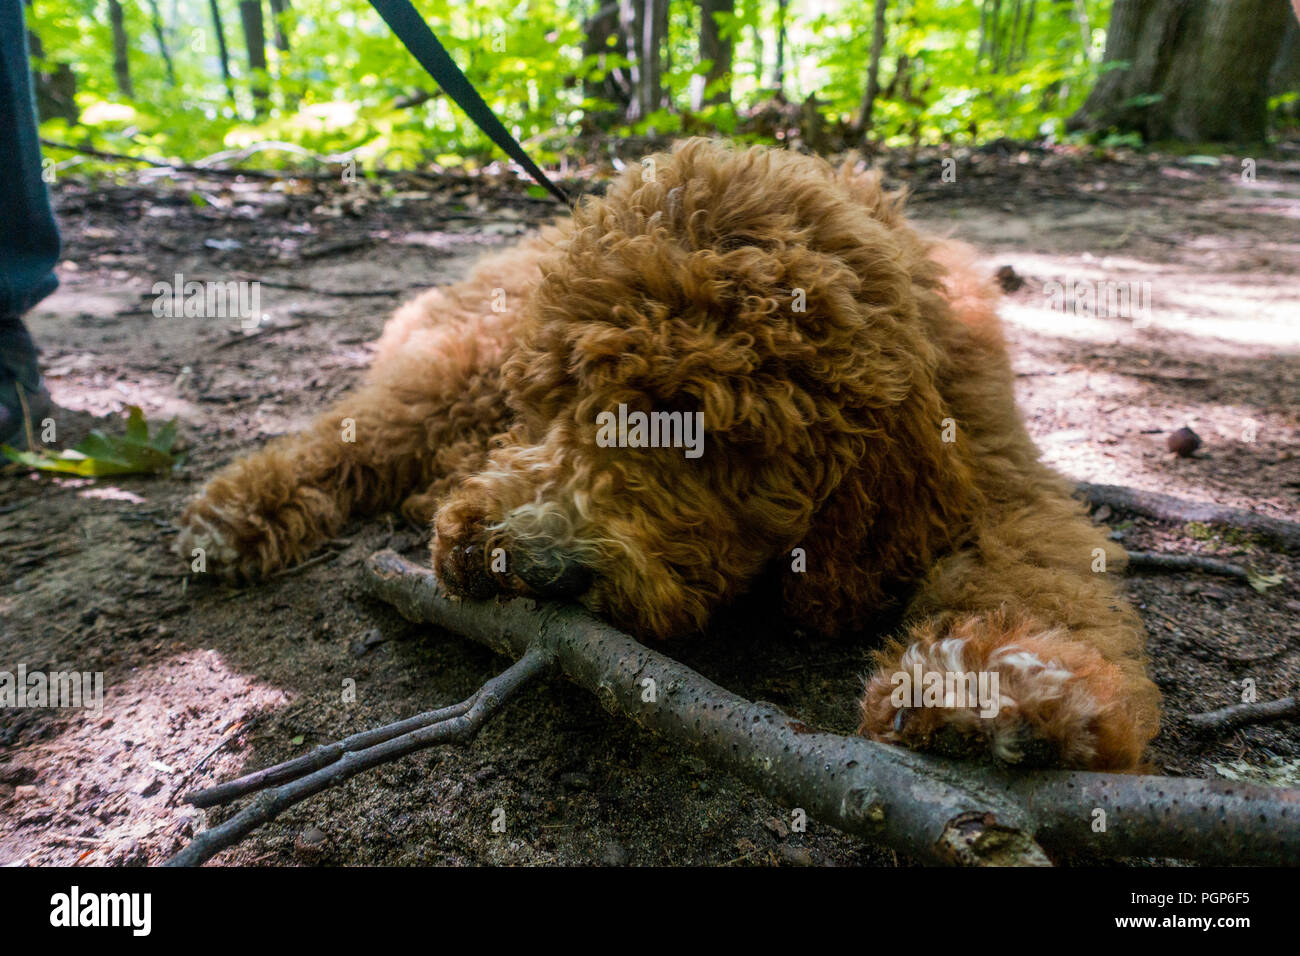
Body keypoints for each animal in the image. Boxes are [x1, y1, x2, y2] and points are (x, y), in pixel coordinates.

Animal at [178, 138, 1164, 775]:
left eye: (708, 436)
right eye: (567, 395)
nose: (535, 562)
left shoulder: (997, 469)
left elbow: (1040, 570)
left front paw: (1010, 682)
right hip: (469, 352)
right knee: (371, 424)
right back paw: (238, 513)